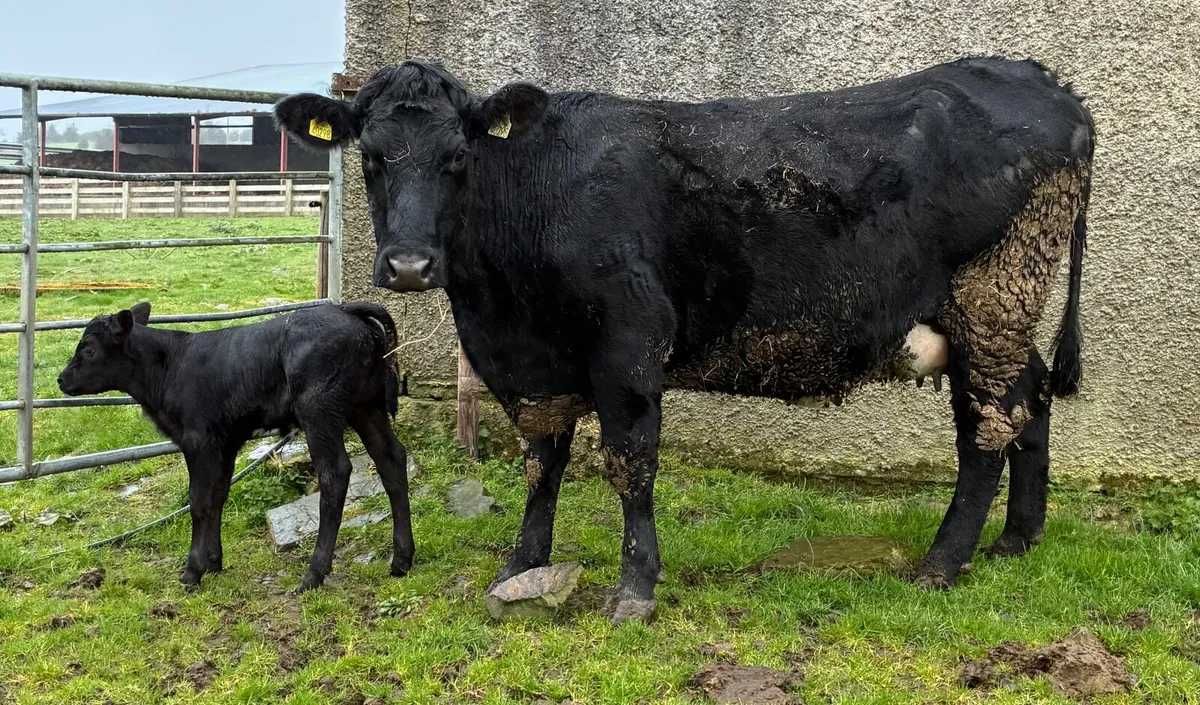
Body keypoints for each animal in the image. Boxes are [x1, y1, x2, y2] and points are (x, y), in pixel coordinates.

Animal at [57, 302, 414, 592]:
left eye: (88, 350)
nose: (61, 379)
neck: (170, 366)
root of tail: (345, 310)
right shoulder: (225, 442)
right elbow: (218, 497)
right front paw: (214, 562)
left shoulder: (198, 441)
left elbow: (199, 502)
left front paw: (192, 572)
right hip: (366, 406)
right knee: (391, 459)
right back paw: (402, 560)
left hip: (318, 411)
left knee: (335, 473)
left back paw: (314, 574)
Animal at [275, 56, 1094, 624]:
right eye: (370, 157)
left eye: (457, 157)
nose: (409, 265)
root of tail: (1043, 79)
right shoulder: (530, 364)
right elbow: (542, 462)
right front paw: (521, 566)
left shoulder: (630, 343)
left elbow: (630, 463)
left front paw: (635, 588)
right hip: (1003, 313)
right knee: (1028, 404)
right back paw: (1017, 539)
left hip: (991, 296)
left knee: (984, 430)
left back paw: (943, 562)